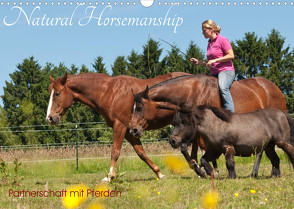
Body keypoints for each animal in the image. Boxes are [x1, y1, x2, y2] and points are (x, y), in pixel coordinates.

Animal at [45, 72, 188, 181]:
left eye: (57, 93)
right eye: (50, 93)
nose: (49, 118)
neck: (110, 92)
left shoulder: (120, 126)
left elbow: (115, 152)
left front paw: (110, 177)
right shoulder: (129, 131)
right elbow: (141, 152)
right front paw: (159, 173)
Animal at [130, 74, 286, 177]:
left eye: (139, 107)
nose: (133, 130)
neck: (192, 92)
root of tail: (274, 87)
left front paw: (204, 170)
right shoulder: (193, 129)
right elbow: (186, 149)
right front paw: (200, 168)